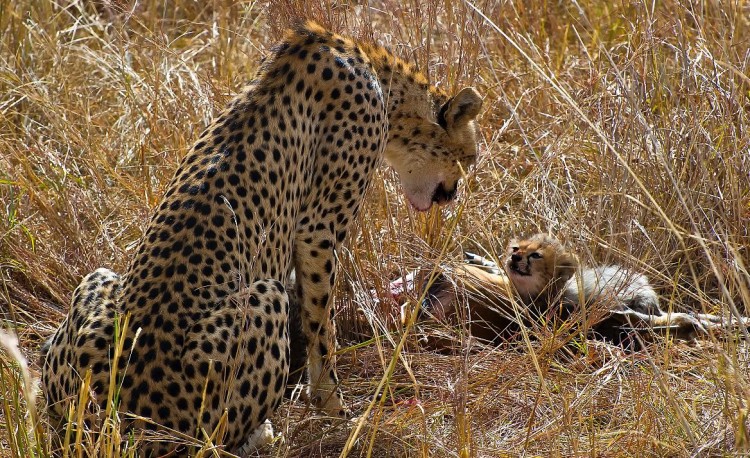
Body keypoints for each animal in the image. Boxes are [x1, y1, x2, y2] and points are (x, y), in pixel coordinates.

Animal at [41, 20, 484, 454]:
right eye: (469, 158)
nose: (455, 193)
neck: (379, 77)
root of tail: (121, 420)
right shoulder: (317, 232)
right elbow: (322, 326)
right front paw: (335, 409)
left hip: (97, 283)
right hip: (261, 301)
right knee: (213, 442)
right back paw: (261, 434)